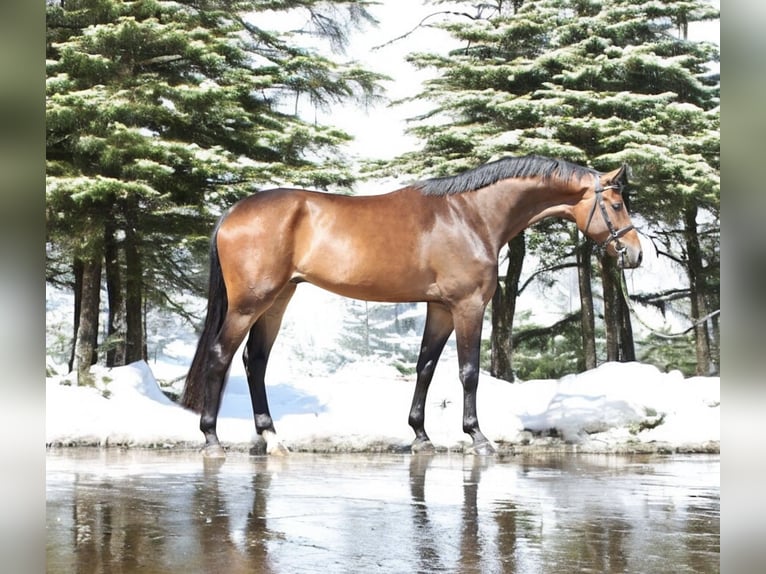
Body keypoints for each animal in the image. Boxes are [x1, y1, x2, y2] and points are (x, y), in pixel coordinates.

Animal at [180, 154, 640, 460]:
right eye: (616, 205)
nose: (634, 254)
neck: (471, 216)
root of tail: (233, 213)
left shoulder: (439, 307)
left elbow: (425, 366)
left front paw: (421, 435)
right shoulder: (468, 306)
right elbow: (468, 372)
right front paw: (478, 437)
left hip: (277, 300)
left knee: (255, 361)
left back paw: (272, 438)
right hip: (249, 303)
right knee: (221, 356)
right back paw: (212, 440)